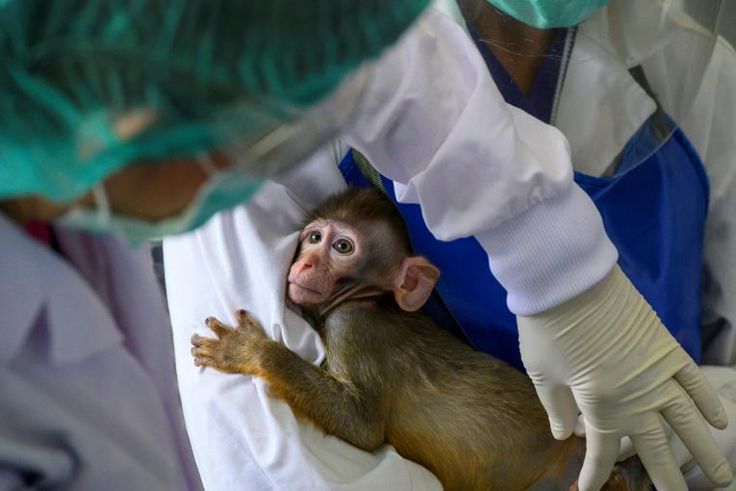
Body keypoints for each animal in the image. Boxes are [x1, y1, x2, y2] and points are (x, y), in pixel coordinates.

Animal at [190, 187, 650, 491]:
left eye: (342, 247)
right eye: (314, 237)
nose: (304, 263)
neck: (372, 301)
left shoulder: (351, 326)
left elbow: (361, 427)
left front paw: (250, 351)